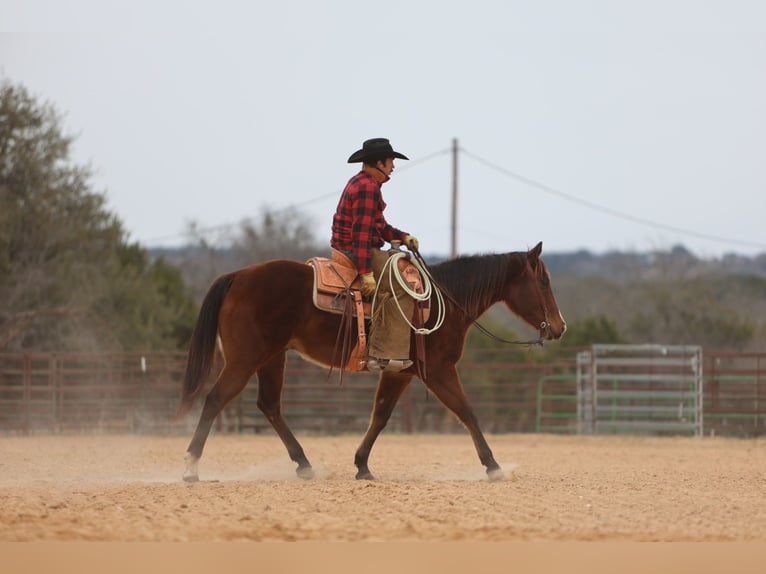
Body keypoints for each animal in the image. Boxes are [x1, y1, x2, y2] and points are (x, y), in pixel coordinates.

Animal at [177, 241, 568, 484]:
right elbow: (467, 412)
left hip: (271, 358)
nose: (560, 327)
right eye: (543, 280)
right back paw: (191, 468)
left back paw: (304, 465)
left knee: (269, 405)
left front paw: (362, 465)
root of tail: (237, 277)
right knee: (216, 399)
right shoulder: (439, 371)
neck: (442, 300)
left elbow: (380, 415)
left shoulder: (401, 372)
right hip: (245, 359)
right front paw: (493, 466)